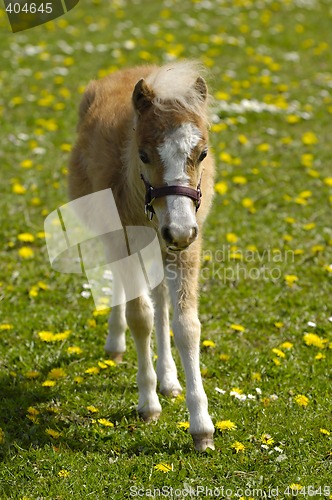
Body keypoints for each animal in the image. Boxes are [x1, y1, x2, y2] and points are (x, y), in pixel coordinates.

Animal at [68, 60, 217, 452]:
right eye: (144, 155)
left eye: (202, 154)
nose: (177, 230)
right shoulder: (124, 239)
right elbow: (140, 317)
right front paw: (148, 404)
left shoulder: (187, 247)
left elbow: (186, 325)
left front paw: (202, 427)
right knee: (127, 288)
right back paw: (116, 343)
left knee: (161, 296)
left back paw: (169, 378)